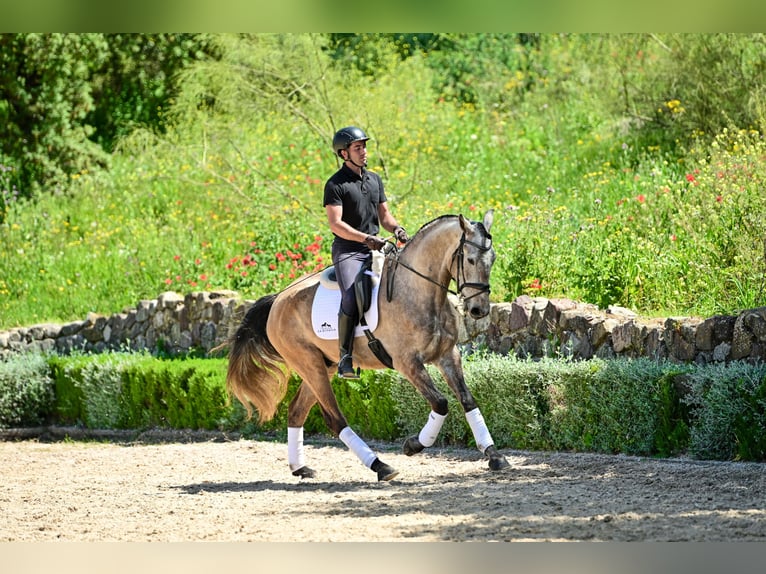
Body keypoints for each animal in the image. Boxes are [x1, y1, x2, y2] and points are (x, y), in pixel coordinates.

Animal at [224, 212, 510, 482]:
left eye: (493, 259)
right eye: (470, 260)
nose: (479, 310)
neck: (419, 291)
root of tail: (278, 299)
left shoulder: (448, 356)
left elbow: (468, 400)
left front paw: (494, 455)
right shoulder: (408, 363)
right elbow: (440, 403)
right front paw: (413, 445)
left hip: (323, 365)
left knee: (296, 411)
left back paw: (300, 468)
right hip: (309, 364)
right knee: (334, 418)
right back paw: (381, 466)